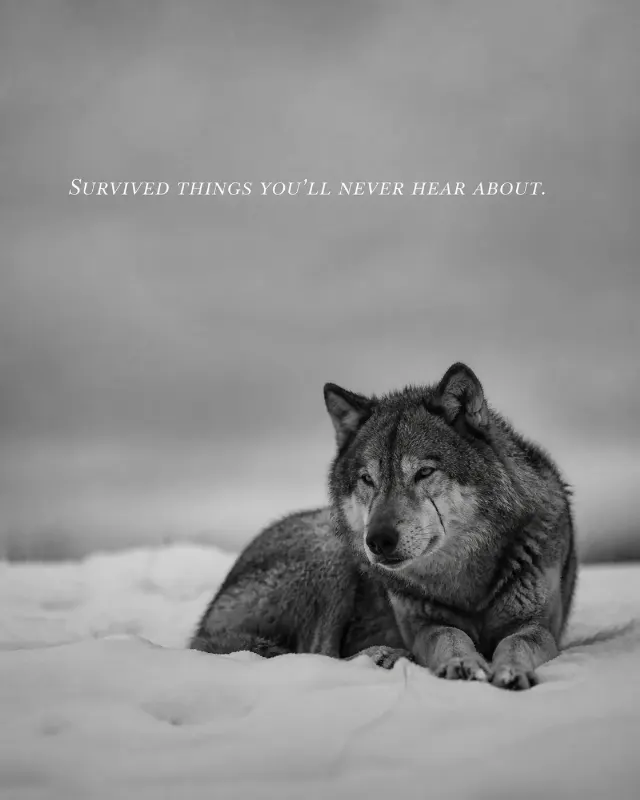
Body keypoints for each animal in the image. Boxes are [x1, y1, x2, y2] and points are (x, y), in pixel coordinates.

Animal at [190, 363, 577, 690]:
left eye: (423, 472)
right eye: (368, 479)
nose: (377, 541)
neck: (466, 584)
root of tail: (204, 623)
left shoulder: (539, 626)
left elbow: (517, 644)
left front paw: (510, 671)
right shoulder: (424, 627)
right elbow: (451, 637)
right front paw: (462, 664)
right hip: (333, 556)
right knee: (317, 652)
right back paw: (382, 655)